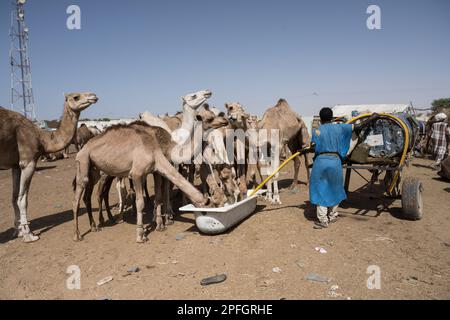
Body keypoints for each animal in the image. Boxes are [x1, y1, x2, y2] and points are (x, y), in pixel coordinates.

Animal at [0, 92, 99, 242]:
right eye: (76, 97)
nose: (93, 96)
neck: (41, 137)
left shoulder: (16, 165)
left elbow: (14, 197)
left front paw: (18, 232)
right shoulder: (28, 162)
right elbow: (23, 199)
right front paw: (29, 235)